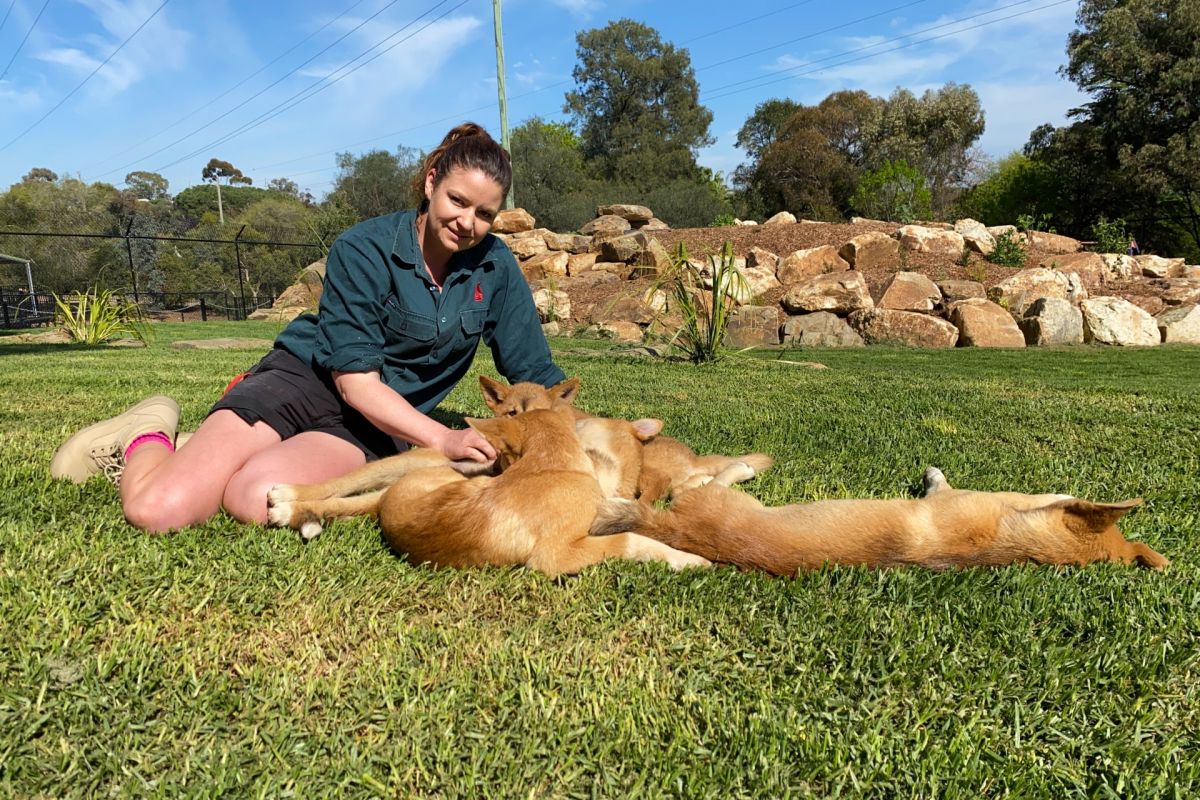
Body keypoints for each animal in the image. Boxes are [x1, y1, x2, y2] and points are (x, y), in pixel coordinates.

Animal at [267, 410, 705, 578]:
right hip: (417, 464)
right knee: (342, 485)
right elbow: (630, 538)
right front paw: (688, 558)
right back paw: (288, 493)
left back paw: (292, 510)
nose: (495, 464)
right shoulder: (555, 556)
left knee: (355, 504)